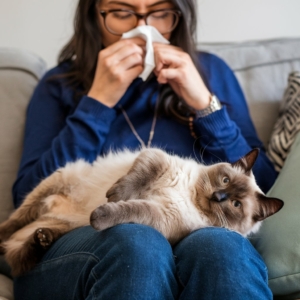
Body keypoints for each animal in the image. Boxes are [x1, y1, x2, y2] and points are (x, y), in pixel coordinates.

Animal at [0, 148, 284, 276]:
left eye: (236, 204)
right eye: (225, 180)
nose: (218, 196)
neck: (190, 195)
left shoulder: (157, 215)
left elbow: (127, 208)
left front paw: (100, 215)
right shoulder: (156, 158)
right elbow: (134, 181)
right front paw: (115, 194)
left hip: (63, 227)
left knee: (20, 257)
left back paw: (41, 239)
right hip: (55, 182)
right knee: (13, 224)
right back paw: (4, 235)